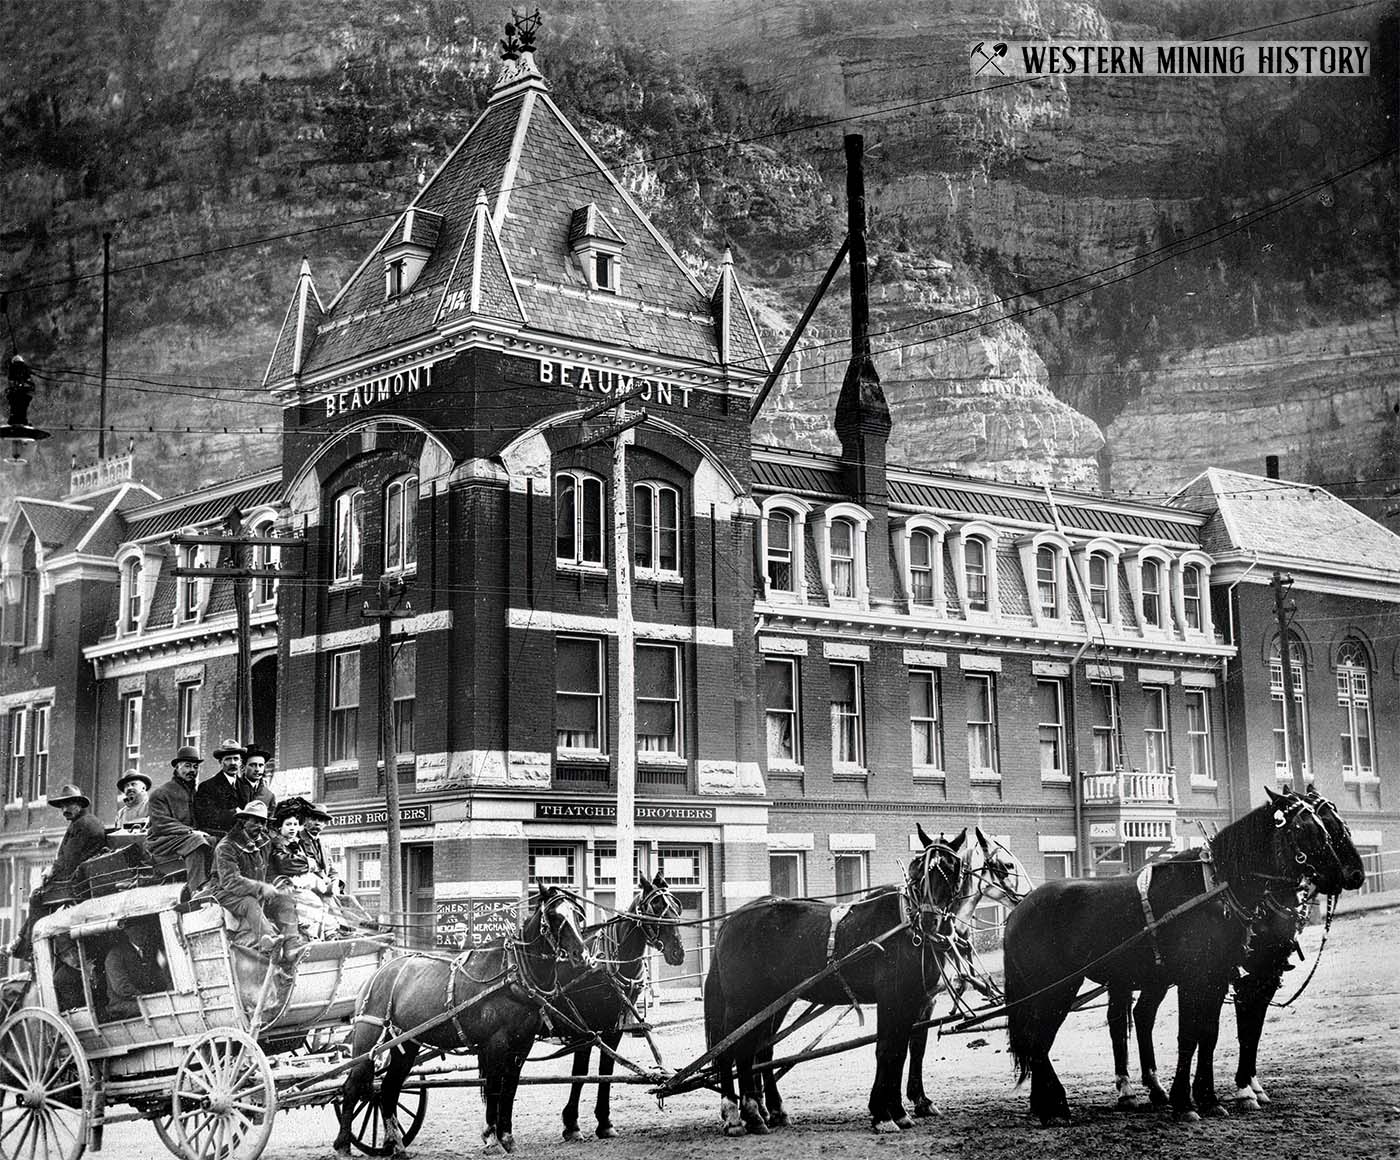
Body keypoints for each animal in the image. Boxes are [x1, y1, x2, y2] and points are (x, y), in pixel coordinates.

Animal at [336, 884, 593, 1147]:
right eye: (553, 915)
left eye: (577, 914)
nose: (582, 955)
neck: (512, 974)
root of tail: (379, 973)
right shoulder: (496, 1042)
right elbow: (494, 1086)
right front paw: (491, 1137)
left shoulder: (523, 1043)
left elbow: (510, 1087)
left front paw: (507, 1137)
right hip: (369, 1037)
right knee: (352, 1085)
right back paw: (344, 1144)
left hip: (406, 1044)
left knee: (388, 1089)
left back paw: (395, 1144)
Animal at [557, 873, 688, 1136]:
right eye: (654, 906)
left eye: (677, 905)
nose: (678, 952)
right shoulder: (584, 1028)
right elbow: (580, 1070)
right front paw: (572, 1123)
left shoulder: (614, 1026)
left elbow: (607, 1068)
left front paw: (604, 1122)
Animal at [705, 822, 968, 1130]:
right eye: (918, 869)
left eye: (951, 869)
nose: (928, 919)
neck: (904, 927)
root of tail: (733, 919)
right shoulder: (892, 998)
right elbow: (887, 1049)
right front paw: (884, 1113)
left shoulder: (918, 1000)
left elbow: (906, 1049)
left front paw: (903, 1108)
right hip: (742, 1002)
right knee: (732, 1051)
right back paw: (740, 1113)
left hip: (772, 1001)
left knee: (759, 1051)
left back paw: (768, 1109)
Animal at [1008, 789, 1344, 1125]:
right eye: (1301, 828)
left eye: (1326, 827)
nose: (1340, 874)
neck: (1215, 889)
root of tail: (1020, 908)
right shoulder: (1194, 978)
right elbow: (1189, 1036)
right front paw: (1185, 1102)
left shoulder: (1217, 978)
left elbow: (1208, 1034)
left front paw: (1208, 1098)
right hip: (1057, 989)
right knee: (1039, 1040)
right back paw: (1057, 1106)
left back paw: (1048, 1104)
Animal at [1103, 783, 1366, 1108]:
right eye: (1313, 828)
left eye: (1336, 824)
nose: (1354, 875)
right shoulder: (1242, 977)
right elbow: (1239, 1028)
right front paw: (1241, 1088)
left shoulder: (1265, 974)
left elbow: (1251, 1029)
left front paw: (1250, 1084)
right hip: (1125, 977)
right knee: (1118, 1020)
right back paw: (1126, 1088)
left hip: (1157, 977)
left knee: (1142, 1015)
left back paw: (1155, 1086)